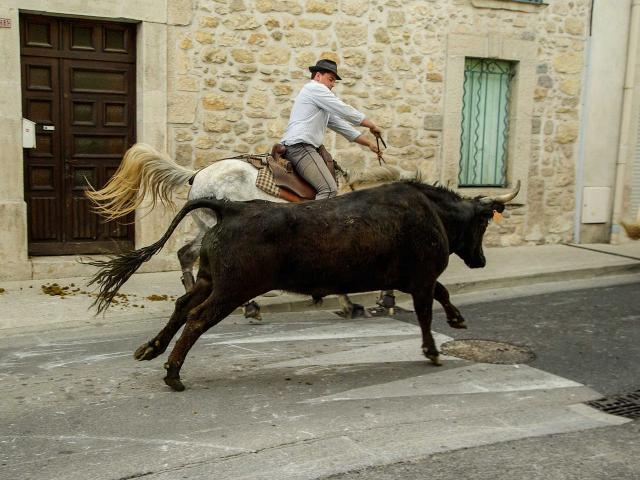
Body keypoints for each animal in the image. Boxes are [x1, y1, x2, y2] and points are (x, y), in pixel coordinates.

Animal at [86, 142, 404, 318]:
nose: (387, 301)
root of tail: (197, 175)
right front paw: (352, 305)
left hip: (205, 228)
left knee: (185, 254)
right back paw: (247, 306)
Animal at [89, 179, 520, 390]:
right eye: (484, 223)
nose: (480, 261)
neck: (430, 211)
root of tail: (231, 206)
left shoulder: (416, 279)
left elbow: (442, 295)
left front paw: (458, 320)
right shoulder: (421, 278)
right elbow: (429, 311)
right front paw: (432, 350)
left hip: (212, 280)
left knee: (181, 306)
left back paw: (150, 349)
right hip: (232, 290)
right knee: (196, 319)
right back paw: (173, 374)